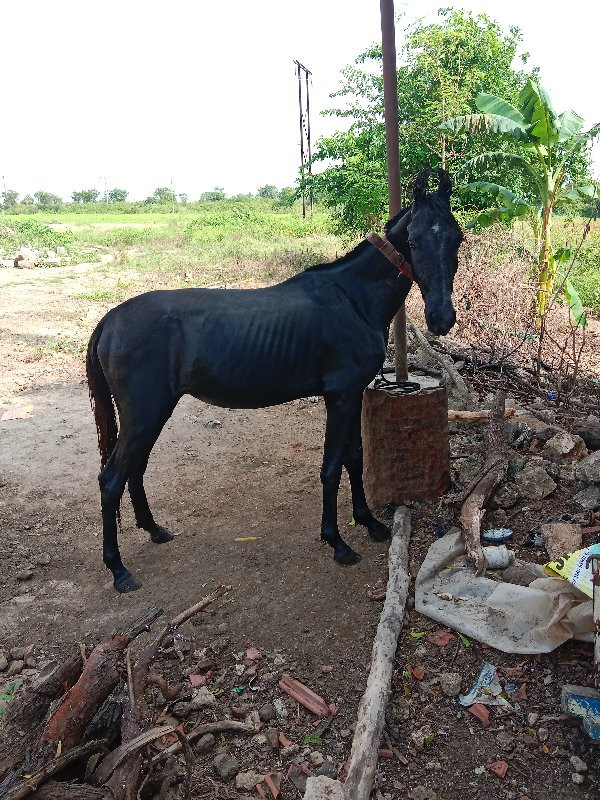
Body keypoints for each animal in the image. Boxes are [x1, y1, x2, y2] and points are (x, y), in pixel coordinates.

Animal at [86, 169, 462, 592]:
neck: (353, 299)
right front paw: (337, 542)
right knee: (111, 479)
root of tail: (109, 320)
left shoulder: (352, 395)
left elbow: (354, 457)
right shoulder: (341, 396)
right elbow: (332, 466)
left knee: (134, 470)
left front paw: (369, 523)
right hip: (145, 414)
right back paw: (118, 569)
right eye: (413, 241)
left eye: (456, 237)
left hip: (149, 415)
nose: (441, 319)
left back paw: (154, 530)